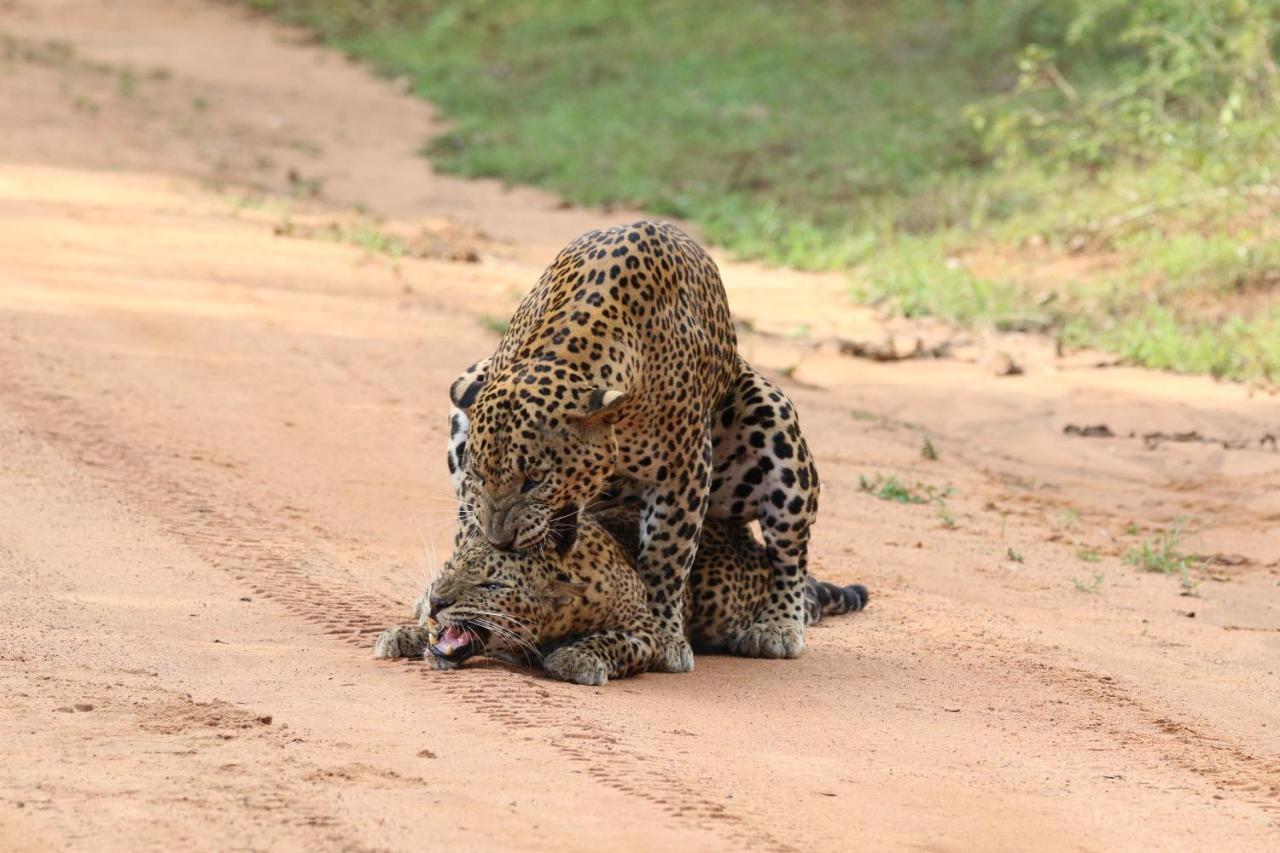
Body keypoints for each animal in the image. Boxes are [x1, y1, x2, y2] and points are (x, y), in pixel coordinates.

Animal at [373, 507, 865, 681]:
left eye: (492, 586)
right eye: (450, 567)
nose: (437, 600)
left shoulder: (646, 630)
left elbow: (612, 641)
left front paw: (576, 658)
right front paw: (403, 633)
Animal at [448, 219, 737, 671]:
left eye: (534, 480)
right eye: (478, 474)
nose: (500, 541)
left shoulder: (685, 468)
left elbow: (667, 558)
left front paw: (665, 635)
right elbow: (468, 519)